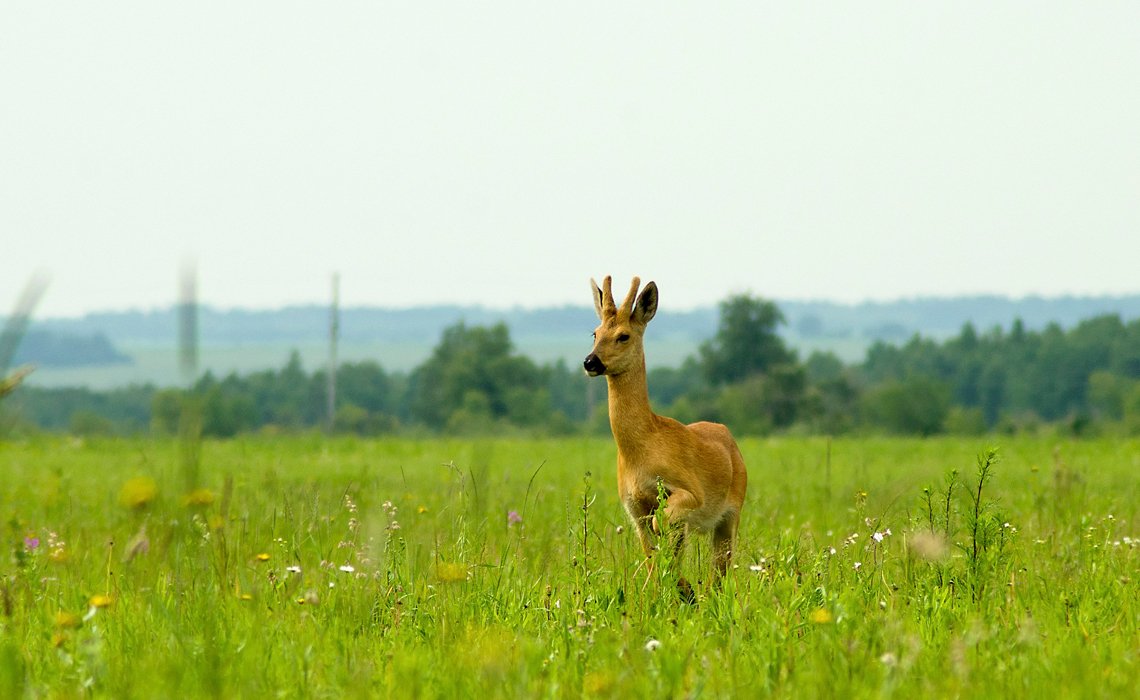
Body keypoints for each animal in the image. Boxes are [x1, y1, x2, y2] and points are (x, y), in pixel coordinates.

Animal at [588, 277, 747, 597]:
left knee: (721, 570)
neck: (643, 449)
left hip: (732, 511)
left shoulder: (691, 491)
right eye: (595, 333)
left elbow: (664, 527)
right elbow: (654, 563)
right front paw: (673, 592)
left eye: (623, 336)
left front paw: (684, 591)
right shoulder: (634, 507)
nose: (590, 361)